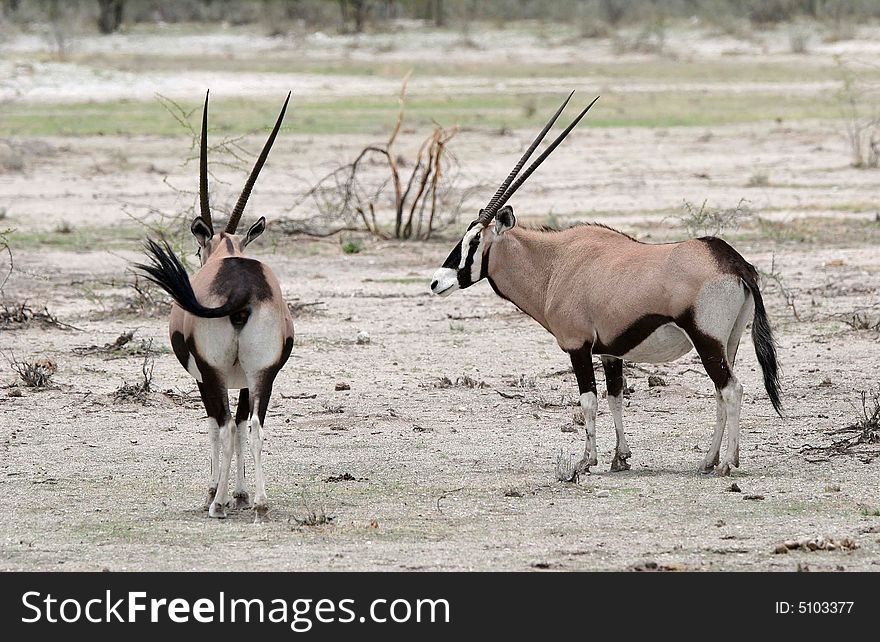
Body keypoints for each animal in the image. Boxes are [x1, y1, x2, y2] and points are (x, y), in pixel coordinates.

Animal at [134, 91, 292, 520]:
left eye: (198, 247)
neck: (229, 254)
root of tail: (241, 288)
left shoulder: (205, 377)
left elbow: (215, 427)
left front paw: (215, 492)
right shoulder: (245, 380)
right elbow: (242, 427)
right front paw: (241, 493)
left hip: (215, 371)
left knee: (222, 425)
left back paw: (217, 504)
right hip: (262, 373)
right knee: (253, 427)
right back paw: (260, 504)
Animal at [430, 92, 780, 478]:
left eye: (475, 240)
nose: (437, 282)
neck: (554, 264)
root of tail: (733, 261)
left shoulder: (578, 346)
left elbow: (588, 400)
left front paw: (586, 460)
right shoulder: (611, 351)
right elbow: (615, 398)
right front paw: (620, 458)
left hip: (707, 340)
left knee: (731, 389)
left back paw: (728, 463)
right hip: (728, 341)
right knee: (721, 391)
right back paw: (709, 459)